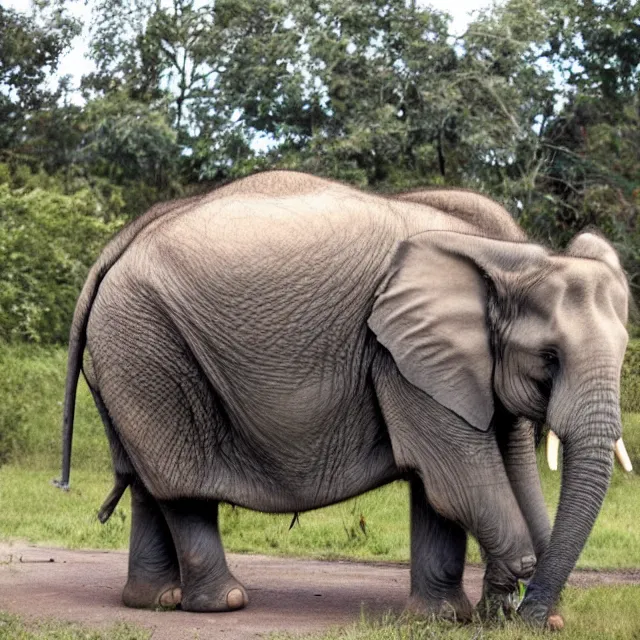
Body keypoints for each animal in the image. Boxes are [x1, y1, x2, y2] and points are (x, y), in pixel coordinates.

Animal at [58, 170, 630, 627]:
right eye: (549, 357)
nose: (537, 617)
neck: (507, 256)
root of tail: (123, 242)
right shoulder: (395, 356)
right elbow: (452, 476)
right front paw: (498, 603)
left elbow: (445, 485)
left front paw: (447, 619)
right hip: (147, 343)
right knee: (181, 482)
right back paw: (221, 603)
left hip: (133, 357)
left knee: (145, 481)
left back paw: (155, 601)